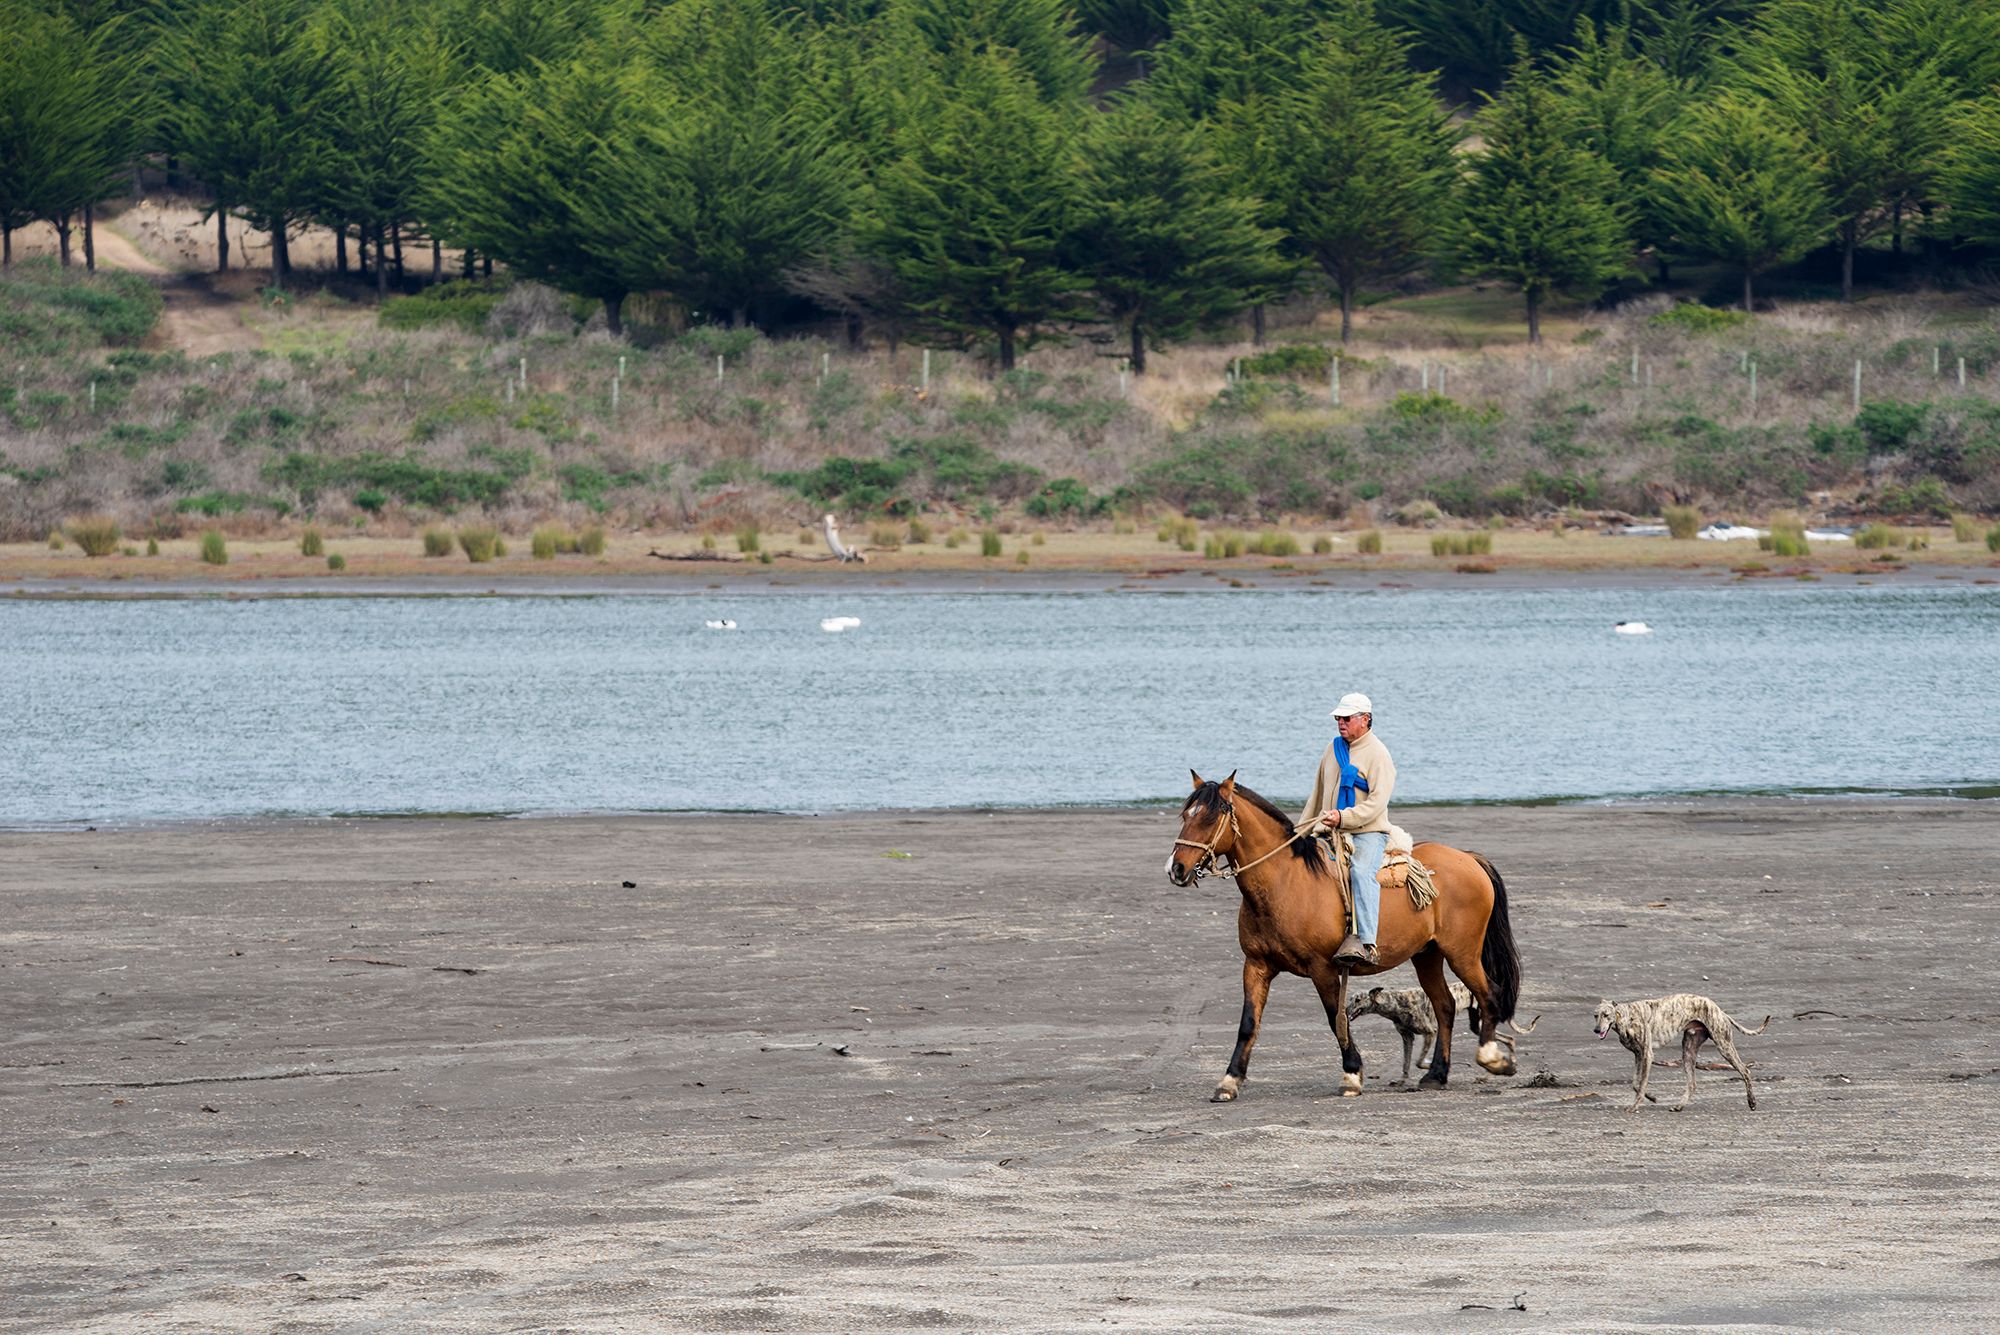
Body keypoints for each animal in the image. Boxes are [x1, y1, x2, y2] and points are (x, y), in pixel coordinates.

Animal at [1168, 767, 1520, 1103]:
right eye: (1186, 815)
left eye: (1211, 817)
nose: (1176, 868)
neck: (1286, 883)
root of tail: (1468, 858)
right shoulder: (1256, 965)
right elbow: (1248, 1024)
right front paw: (1229, 1081)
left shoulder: (1322, 967)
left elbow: (1335, 1017)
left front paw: (1352, 1074)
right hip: (1427, 955)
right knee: (1444, 1005)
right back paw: (1436, 1074)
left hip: (1463, 953)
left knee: (1488, 994)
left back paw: (1492, 1058)